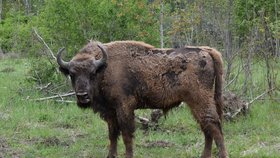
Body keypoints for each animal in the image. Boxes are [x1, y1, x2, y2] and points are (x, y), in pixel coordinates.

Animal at [56, 41, 228, 158]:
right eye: (72, 74)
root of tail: (206, 51)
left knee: (213, 125)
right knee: (207, 127)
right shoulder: (111, 112)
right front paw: (110, 155)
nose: (82, 96)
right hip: (195, 103)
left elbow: (127, 134)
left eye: (92, 73)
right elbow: (112, 134)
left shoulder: (124, 107)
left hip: (200, 100)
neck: (104, 68)